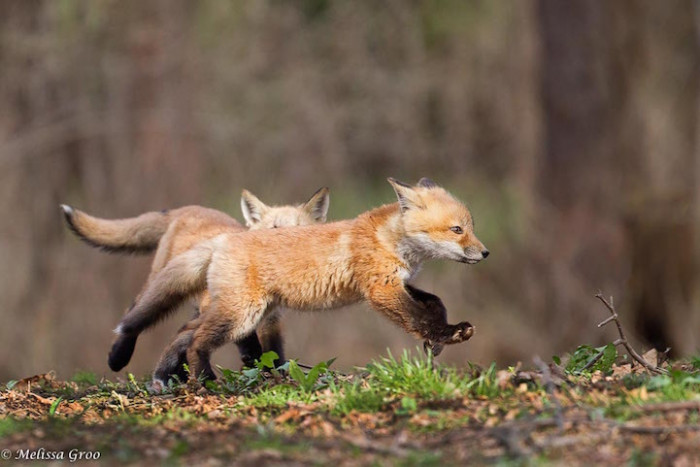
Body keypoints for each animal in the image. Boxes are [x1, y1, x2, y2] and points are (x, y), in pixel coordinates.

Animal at [61, 187, 330, 379]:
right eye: (273, 231)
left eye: (302, 231)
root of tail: (185, 209)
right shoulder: (230, 307)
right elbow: (245, 340)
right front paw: (253, 360)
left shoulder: (272, 318)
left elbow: (274, 350)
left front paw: (273, 371)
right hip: (165, 283)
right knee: (136, 312)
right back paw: (119, 356)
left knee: (184, 331)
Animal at [109, 178, 489, 383]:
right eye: (457, 230)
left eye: (470, 227)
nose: (485, 253)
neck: (389, 239)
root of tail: (226, 238)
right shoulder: (380, 290)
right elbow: (417, 317)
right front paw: (445, 335)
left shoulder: (398, 282)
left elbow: (434, 302)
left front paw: (438, 340)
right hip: (241, 315)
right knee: (198, 340)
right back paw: (204, 379)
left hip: (248, 311)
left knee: (184, 332)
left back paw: (165, 376)